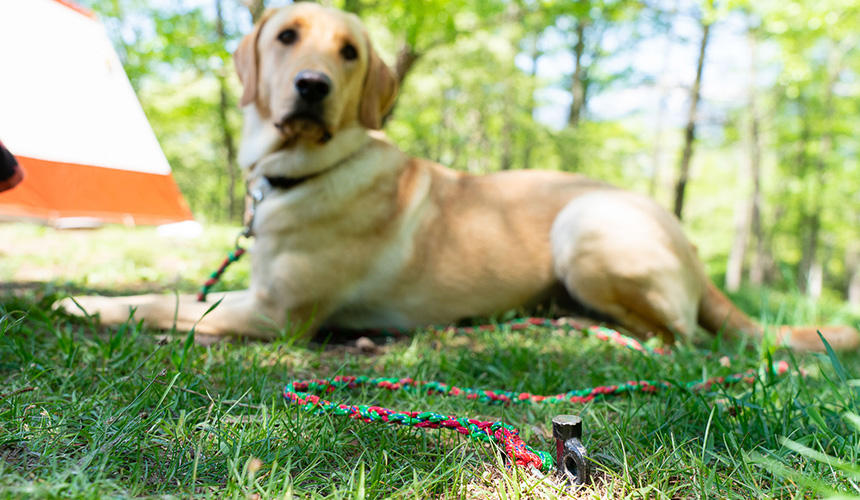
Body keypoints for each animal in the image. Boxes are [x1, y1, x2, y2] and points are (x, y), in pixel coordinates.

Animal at [63, 2, 856, 352]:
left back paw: (587, 325)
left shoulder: (277, 314)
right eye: (285, 36)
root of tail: (688, 241)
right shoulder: (258, 293)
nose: (313, 87)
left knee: (680, 335)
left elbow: (165, 301)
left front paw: (82, 302)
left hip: (585, 226)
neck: (311, 170)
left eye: (350, 52)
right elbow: (176, 290)